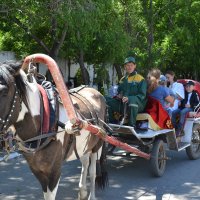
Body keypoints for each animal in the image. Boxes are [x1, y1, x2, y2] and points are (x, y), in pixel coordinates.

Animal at [0, 61, 108, 200]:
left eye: (4, 91)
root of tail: (96, 92)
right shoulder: (37, 170)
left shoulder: (54, 171)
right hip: (84, 145)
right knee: (85, 162)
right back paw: (82, 190)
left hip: (97, 145)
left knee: (93, 171)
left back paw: (91, 195)